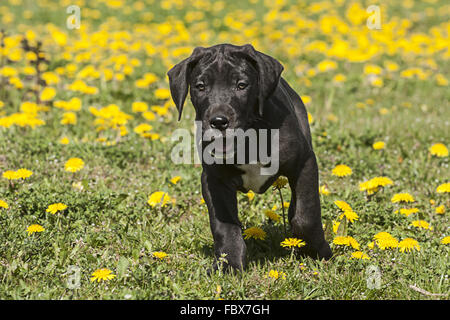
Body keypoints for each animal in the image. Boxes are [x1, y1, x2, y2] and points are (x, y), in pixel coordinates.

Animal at [167, 43, 332, 272]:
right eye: (200, 86)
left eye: (241, 85)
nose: (219, 121)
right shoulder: (214, 180)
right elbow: (224, 225)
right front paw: (229, 265)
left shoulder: (304, 163)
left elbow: (306, 215)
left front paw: (319, 251)